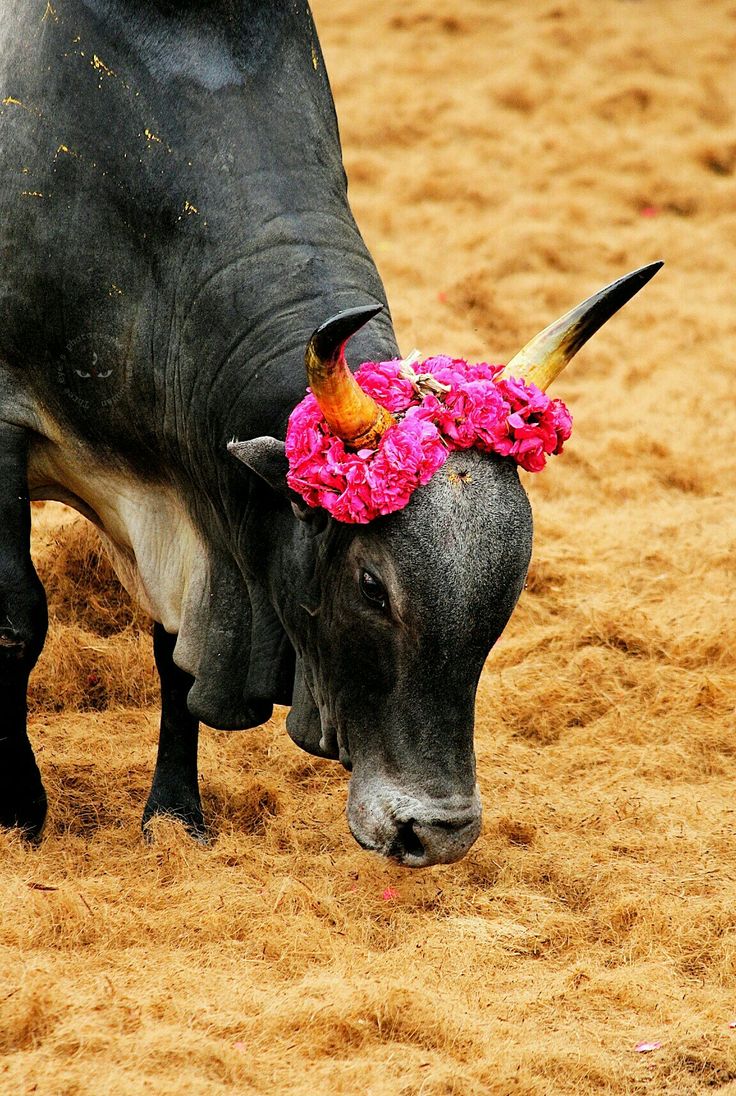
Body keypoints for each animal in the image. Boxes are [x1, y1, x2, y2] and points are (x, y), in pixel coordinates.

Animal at [0, 4, 661, 868]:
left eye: (513, 587)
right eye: (371, 585)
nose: (435, 833)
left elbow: (174, 656)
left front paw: (174, 815)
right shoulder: (6, 424)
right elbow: (17, 620)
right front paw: (19, 811)